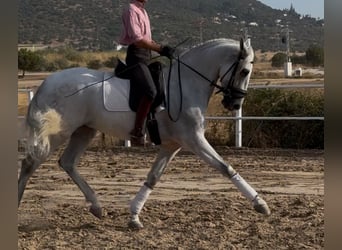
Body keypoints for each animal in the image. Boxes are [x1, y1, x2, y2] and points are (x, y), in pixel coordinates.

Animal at [18, 38, 270, 229]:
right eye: (245, 70)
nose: (234, 104)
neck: (186, 85)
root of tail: (47, 82)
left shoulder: (172, 145)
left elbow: (153, 178)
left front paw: (134, 216)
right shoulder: (194, 140)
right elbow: (226, 168)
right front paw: (260, 204)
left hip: (84, 131)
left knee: (67, 162)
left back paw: (97, 207)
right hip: (58, 133)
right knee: (30, 163)